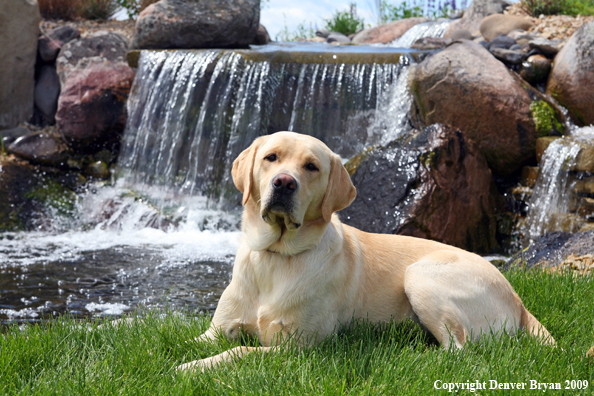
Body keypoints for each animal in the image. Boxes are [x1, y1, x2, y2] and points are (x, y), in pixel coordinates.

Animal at [175, 132, 552, 372]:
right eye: (271, 158)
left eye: (311, 167)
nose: (283, 183)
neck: (276, 255)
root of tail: (517, 299)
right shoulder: (215, 331)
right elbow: (184, 341)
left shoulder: (298, 349)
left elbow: (238, 351)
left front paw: (192, 366)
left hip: (421, 277)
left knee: (458, 352)